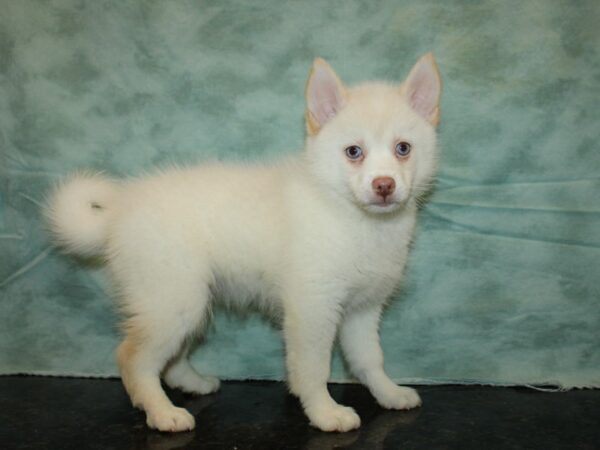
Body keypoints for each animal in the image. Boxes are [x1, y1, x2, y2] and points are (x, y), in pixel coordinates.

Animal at [45, 52, 440, 432]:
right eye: (353, 152)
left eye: (403, 148)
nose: (384, 185)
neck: (351, 216)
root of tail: (120, 210)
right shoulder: (312, 309)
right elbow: (313, 368)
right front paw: (325, 412)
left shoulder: (363, 308)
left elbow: (370, 358)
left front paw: (388, 393)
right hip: (173, 299)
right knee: (134, 359)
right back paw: (162, 413)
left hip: (187, 301)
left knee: (169, 358)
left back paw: (192, 383)